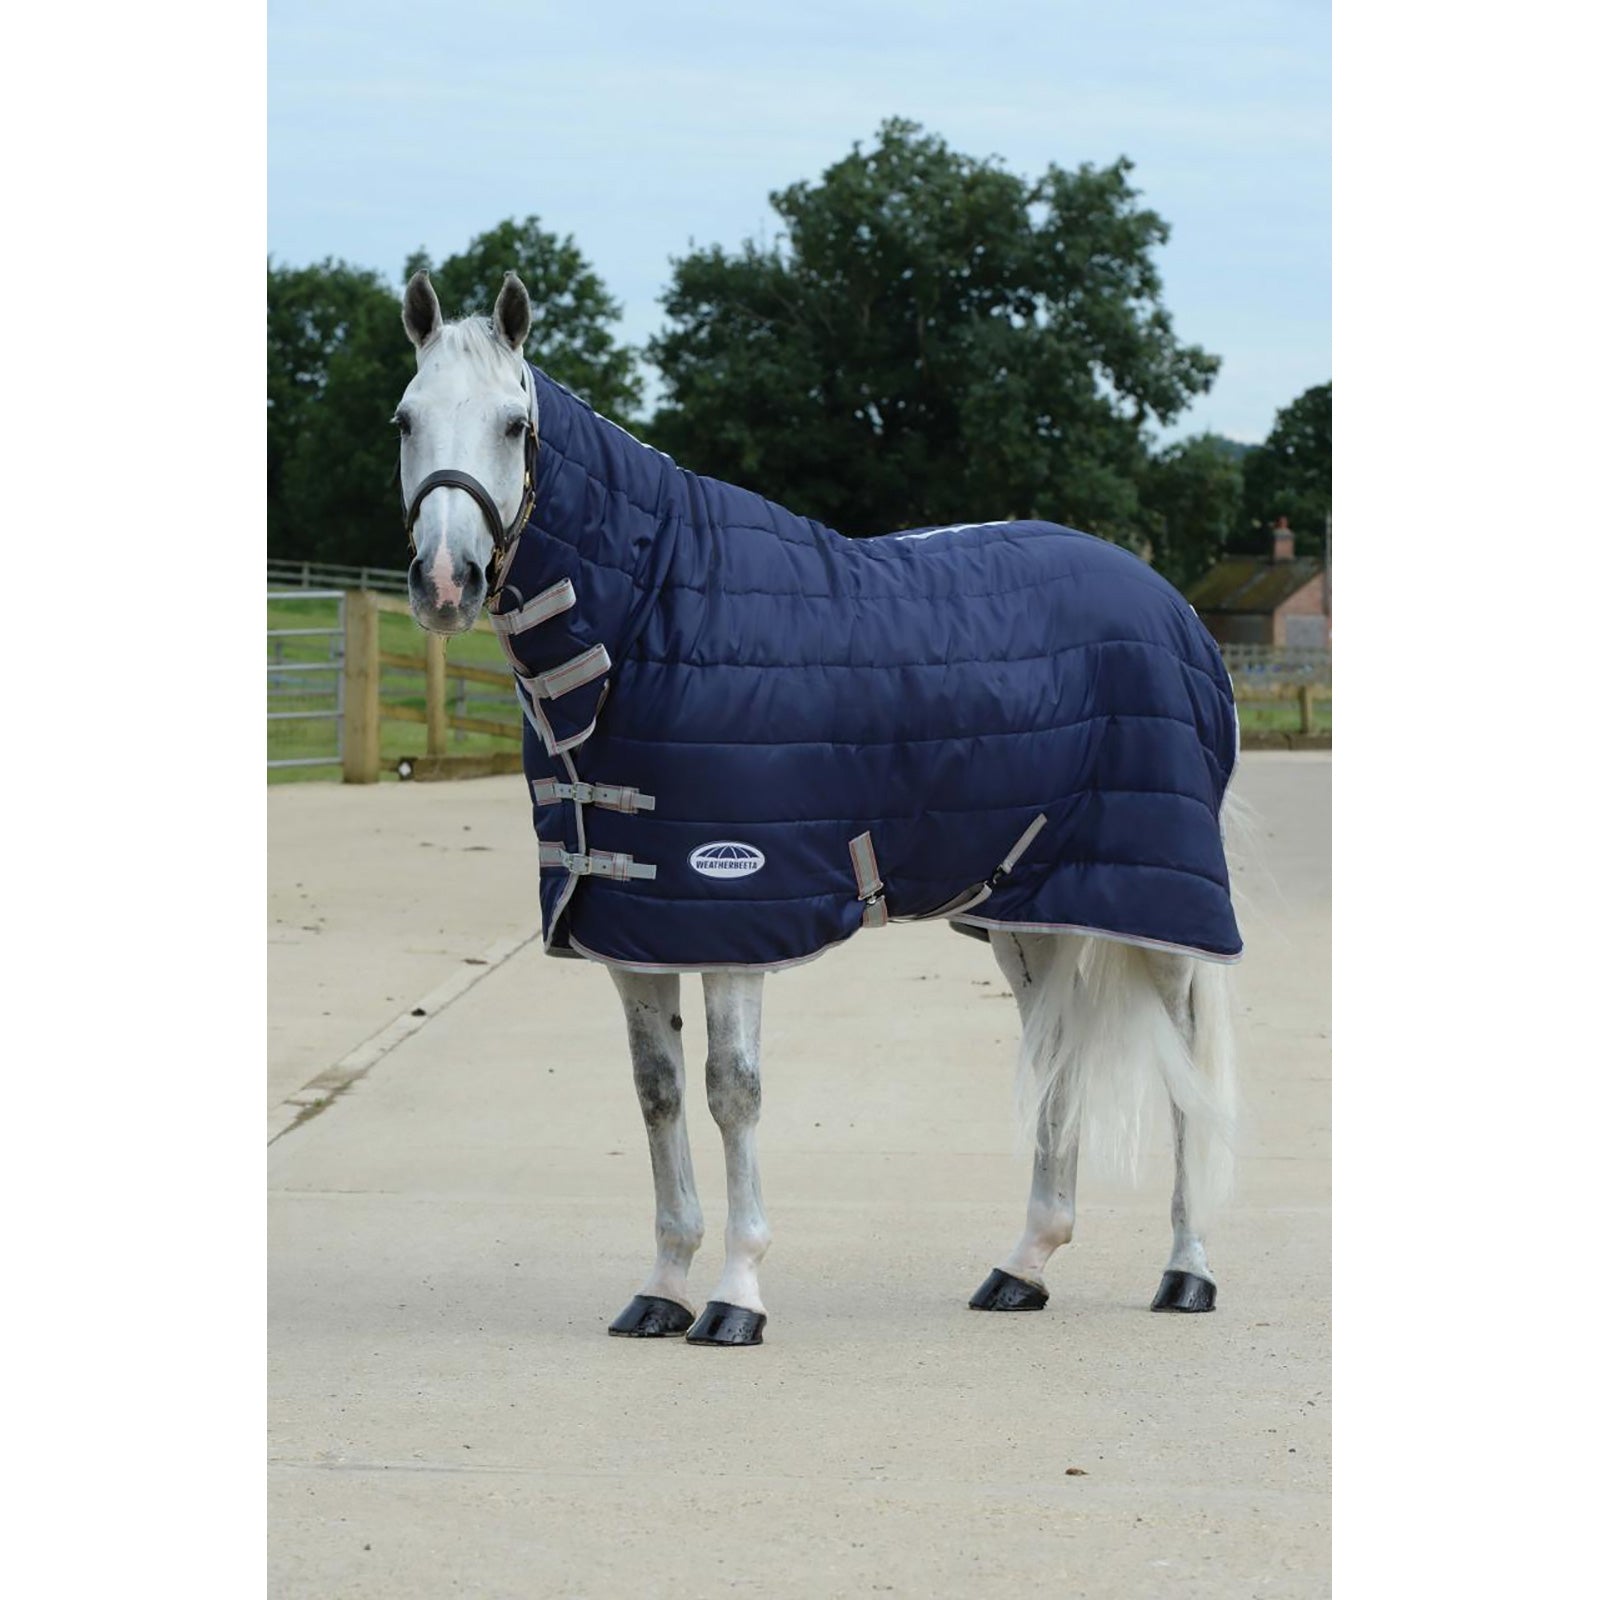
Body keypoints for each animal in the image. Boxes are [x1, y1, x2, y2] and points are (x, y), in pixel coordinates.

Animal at [393, 268, 1242, 1347]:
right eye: (406, 419)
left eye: (512, 424)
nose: (444, 581)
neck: (650, 621)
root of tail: (1174, 611)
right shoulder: (635, 925)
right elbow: (657, 1094)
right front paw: (662, 1286)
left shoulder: (732, 910)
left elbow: (732, 1092)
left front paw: (735, 1296)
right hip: (1031, 909)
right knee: (1054, 1053)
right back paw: (1022, 1266)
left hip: (1161, 906)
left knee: (1186, 1071)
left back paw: (1188, 1270)